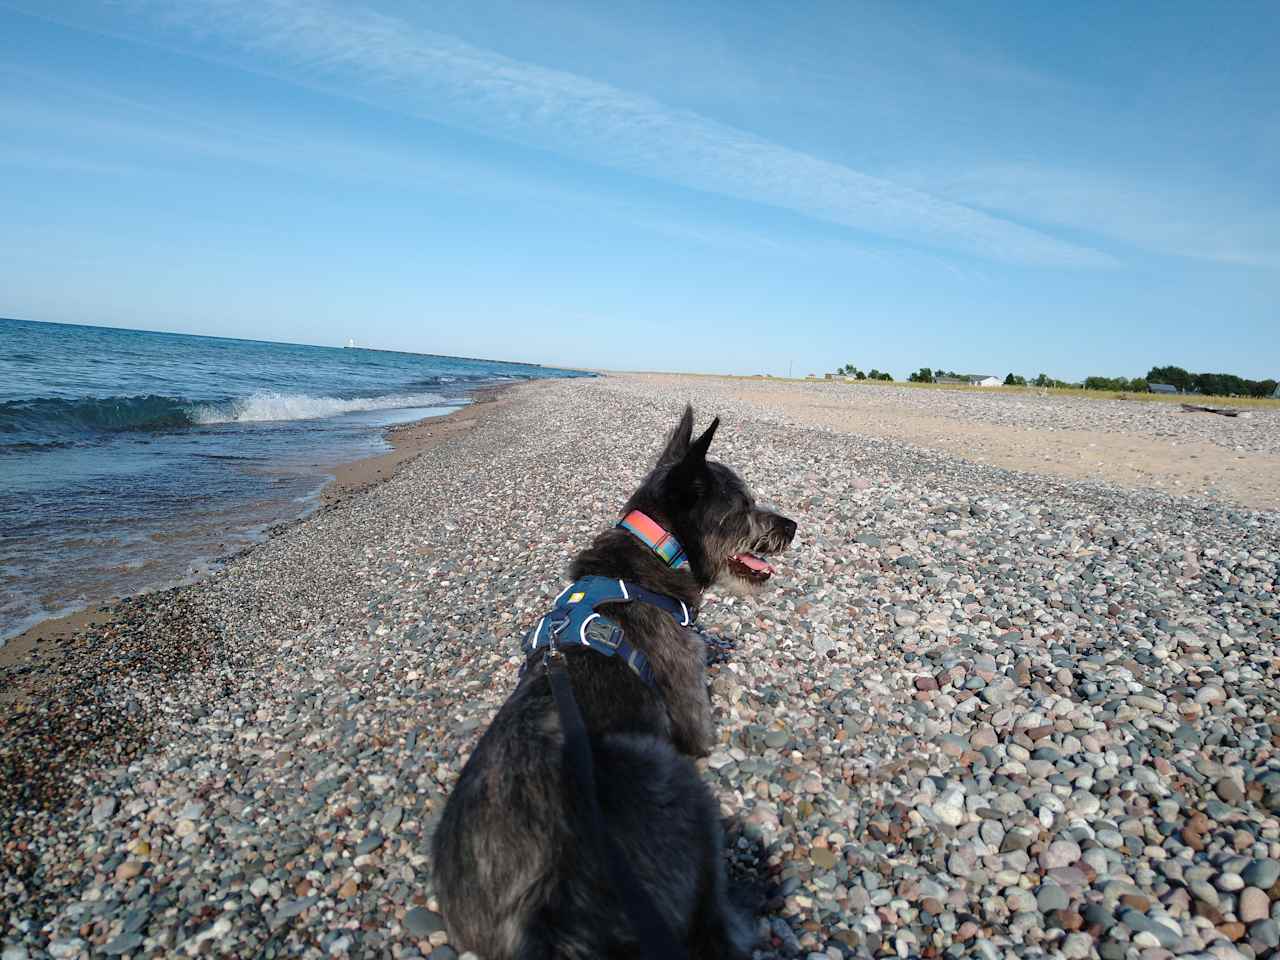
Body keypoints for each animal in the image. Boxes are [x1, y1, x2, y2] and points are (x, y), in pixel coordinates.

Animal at [437, 407, 798, 960]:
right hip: (676, 782)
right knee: (716, 924)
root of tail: (543, 918)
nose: (792, 526)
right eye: (743, 507)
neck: (655, 555)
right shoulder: (690, 705)